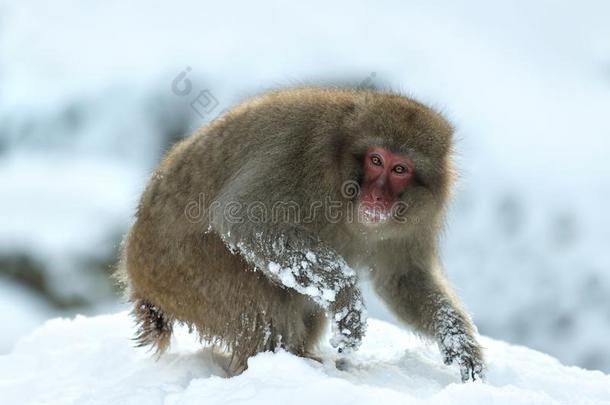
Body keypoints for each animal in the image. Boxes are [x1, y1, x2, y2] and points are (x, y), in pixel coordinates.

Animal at [115, 86, 484, 382]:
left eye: (400, 169)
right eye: (376, 160)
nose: (376, 196)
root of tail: (137, 274)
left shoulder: (419, 217)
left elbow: (402, 278)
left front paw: (459, 344)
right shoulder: (300, 150)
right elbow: (246, 220)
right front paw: (348, 298)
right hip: (182, 276)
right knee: (259, 310)